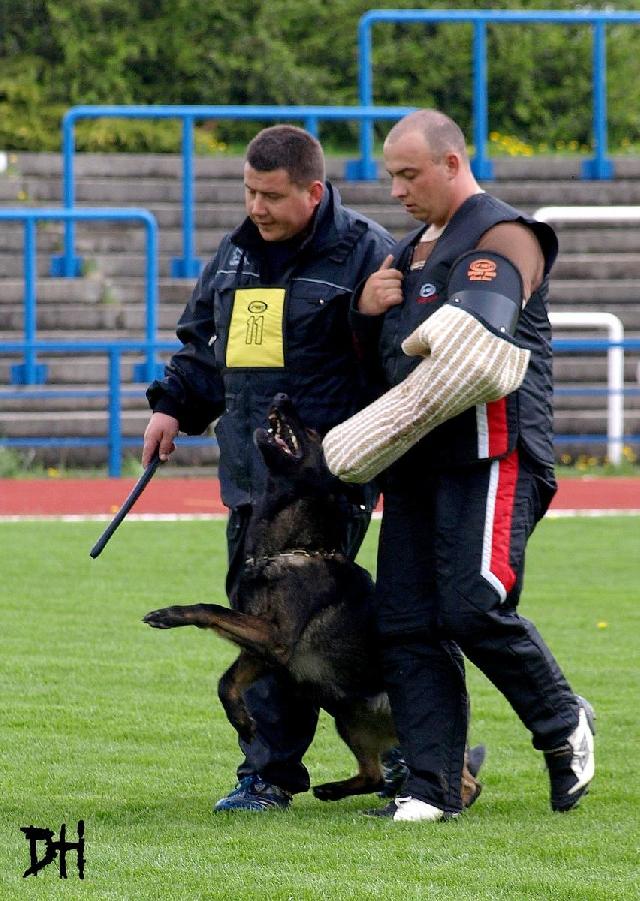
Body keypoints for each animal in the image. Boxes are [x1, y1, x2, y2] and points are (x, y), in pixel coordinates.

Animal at [144, 393, 482, 806]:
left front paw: (171, 614)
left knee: (466, 782)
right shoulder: (266, 651)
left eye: (312, 432)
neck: (293, 548)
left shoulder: (274, 638)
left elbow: (211, 610)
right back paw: (334, 789)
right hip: (348, 718)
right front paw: (242, 719)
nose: (282, 396)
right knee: (373, 773)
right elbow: (227, 682)